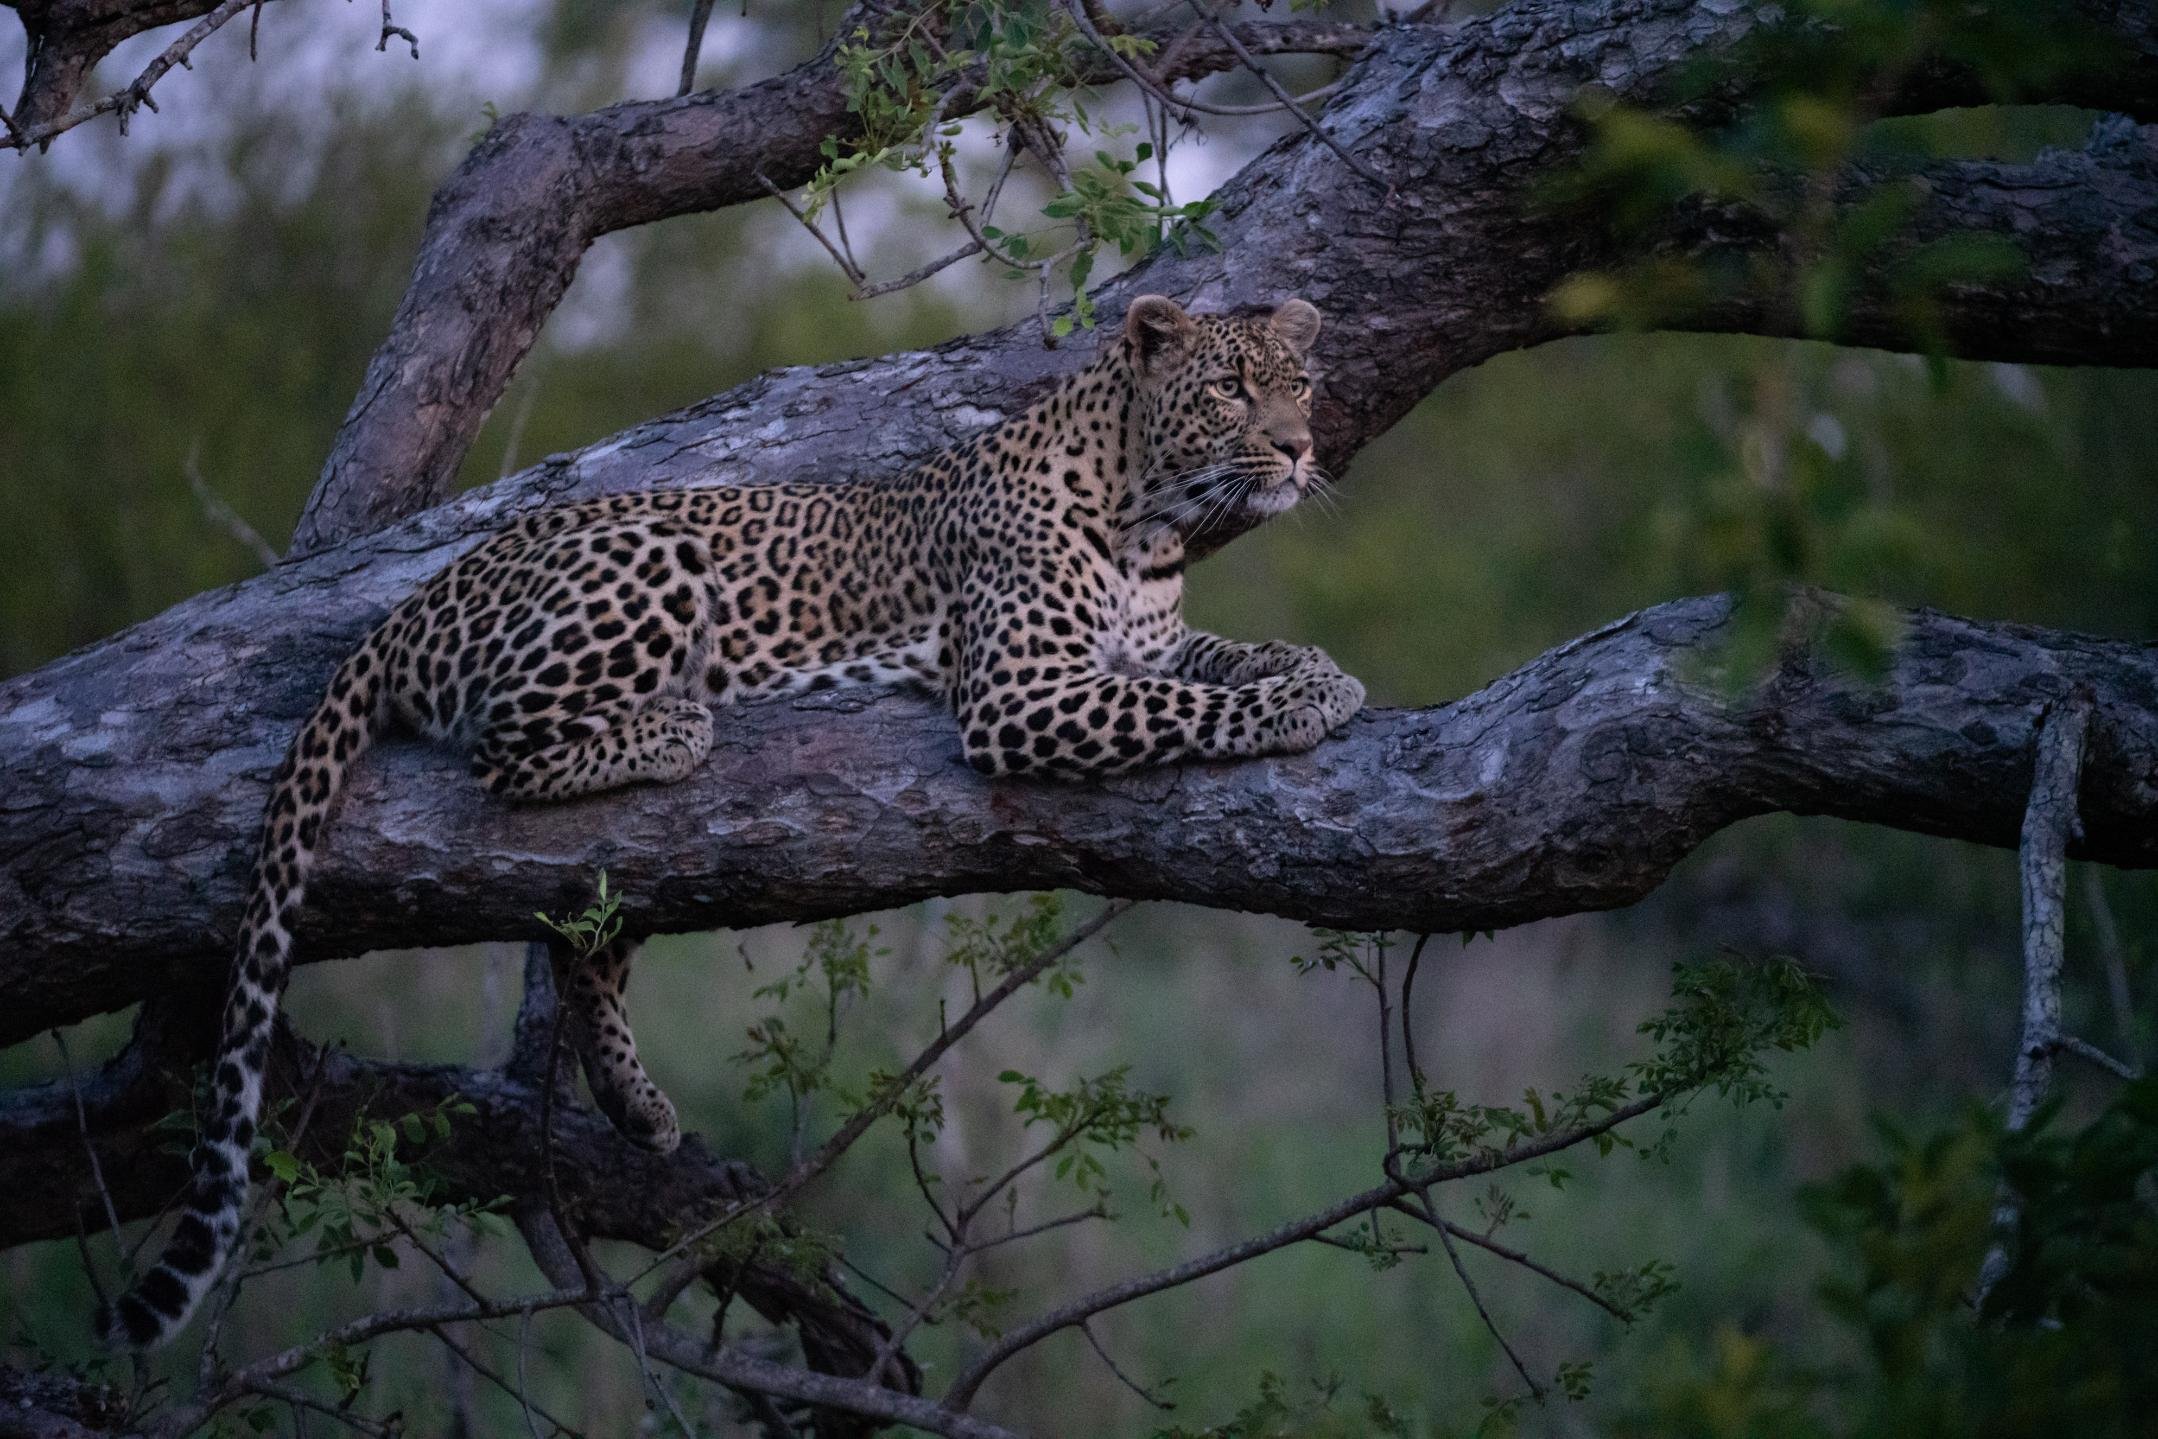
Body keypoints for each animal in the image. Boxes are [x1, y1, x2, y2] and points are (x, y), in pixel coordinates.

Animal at [101, 294, 1365, 1348]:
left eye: (1298, 384)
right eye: (1229, 389)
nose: (1300, 450)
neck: (1148, 514)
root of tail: (416, 597)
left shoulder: (1142, 645)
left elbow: (1212, 660)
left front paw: (1313, 666)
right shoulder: (1022, 694)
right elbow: (1181, 708)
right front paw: (1297, 702)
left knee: (589, 946)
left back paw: (637, 1102)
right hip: (649, 562)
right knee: (507, 749)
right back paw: (674, 725)